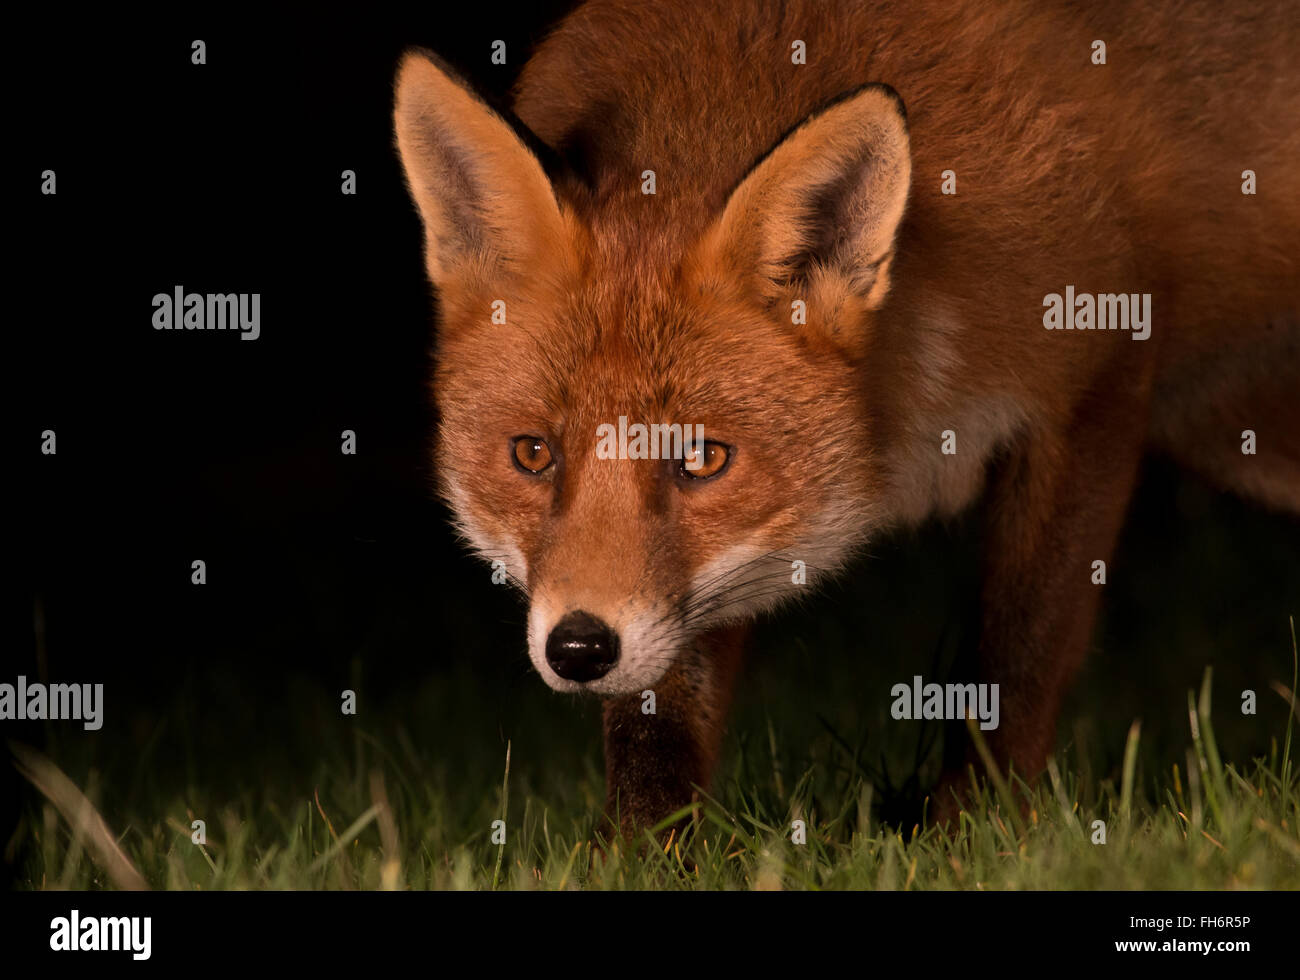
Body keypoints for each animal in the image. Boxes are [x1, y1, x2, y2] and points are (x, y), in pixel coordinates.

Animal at [394, 0, 1300, 833]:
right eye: (532, 455)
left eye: (703, 459)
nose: (579, 649)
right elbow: (657, 729)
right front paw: (647, 855)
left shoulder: (1096, 385)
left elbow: (1016, 659)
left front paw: (973, 838)